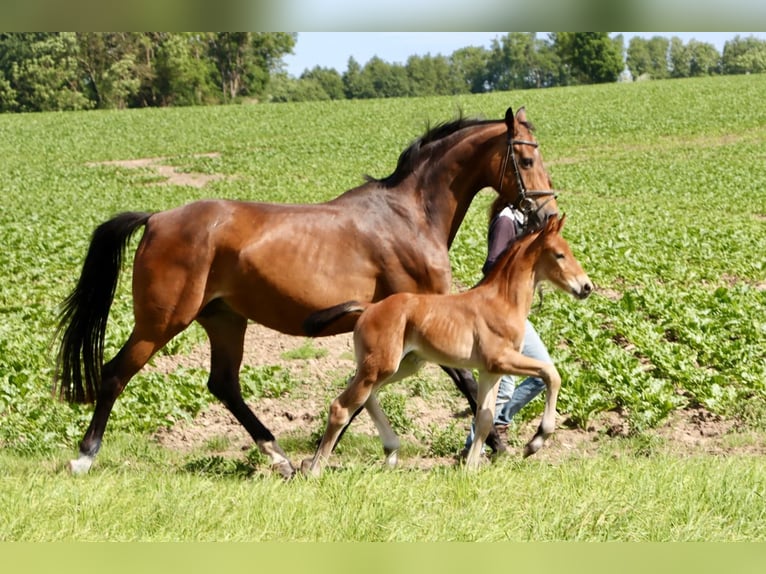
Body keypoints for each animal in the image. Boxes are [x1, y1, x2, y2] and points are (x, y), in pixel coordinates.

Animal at [54, 106, 560, 480]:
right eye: (527, 160)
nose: (547, 214)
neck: (409, 216)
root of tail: (156, 219)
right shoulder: (424, 322)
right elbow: (465, 385)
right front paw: (501, 445)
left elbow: (364, 397)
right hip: (160, 321)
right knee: (115, 373)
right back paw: (84, 457)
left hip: (224, 319)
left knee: (223, 384)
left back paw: (280, 459)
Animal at [302, 216, 592, 476]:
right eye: (559, 255)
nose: (587, 287)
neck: (502, 302)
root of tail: (369, 307)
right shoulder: (501, 359)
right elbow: (552, 374)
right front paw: (535, 442)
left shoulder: (491, 371)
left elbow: (485, 417)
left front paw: (470, 470)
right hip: (380, 366)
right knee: (342, 407)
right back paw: (315, 470)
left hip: (403, 365)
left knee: (367, 397)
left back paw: (391, 450)